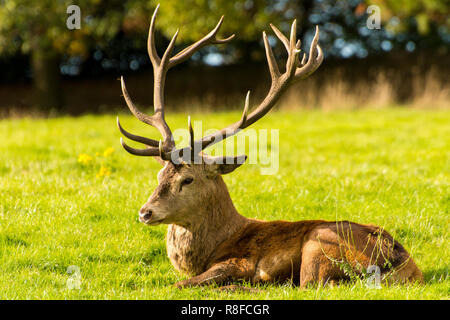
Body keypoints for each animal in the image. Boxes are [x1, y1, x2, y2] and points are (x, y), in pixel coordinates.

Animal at [115, 4, 422, 290]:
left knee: (314, 285)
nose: (145, 212)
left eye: (187, 179)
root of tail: (404, 266)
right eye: (159, 175)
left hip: (319, 243)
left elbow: (180, 283)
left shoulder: (238, 261)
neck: (215, 245)